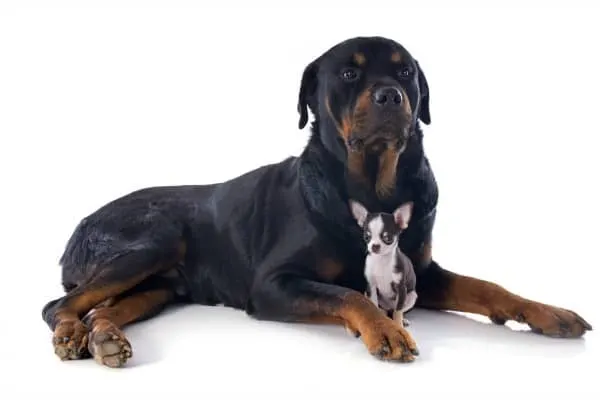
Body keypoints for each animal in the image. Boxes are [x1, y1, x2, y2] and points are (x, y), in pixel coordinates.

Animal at [41, 36, 592, 368]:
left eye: (406, 73)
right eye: (349, 75)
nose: (391, 95)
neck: (374, 186)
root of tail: (78, 227)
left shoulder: (420, 270)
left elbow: (488, 287)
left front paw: (550, 313)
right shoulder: (273, 284)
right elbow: (346, 294)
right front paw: (385, 331)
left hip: (160, 287)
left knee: (103, 308)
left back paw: (104, 337)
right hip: (154, 238)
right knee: (60, 304)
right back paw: (72, 335)